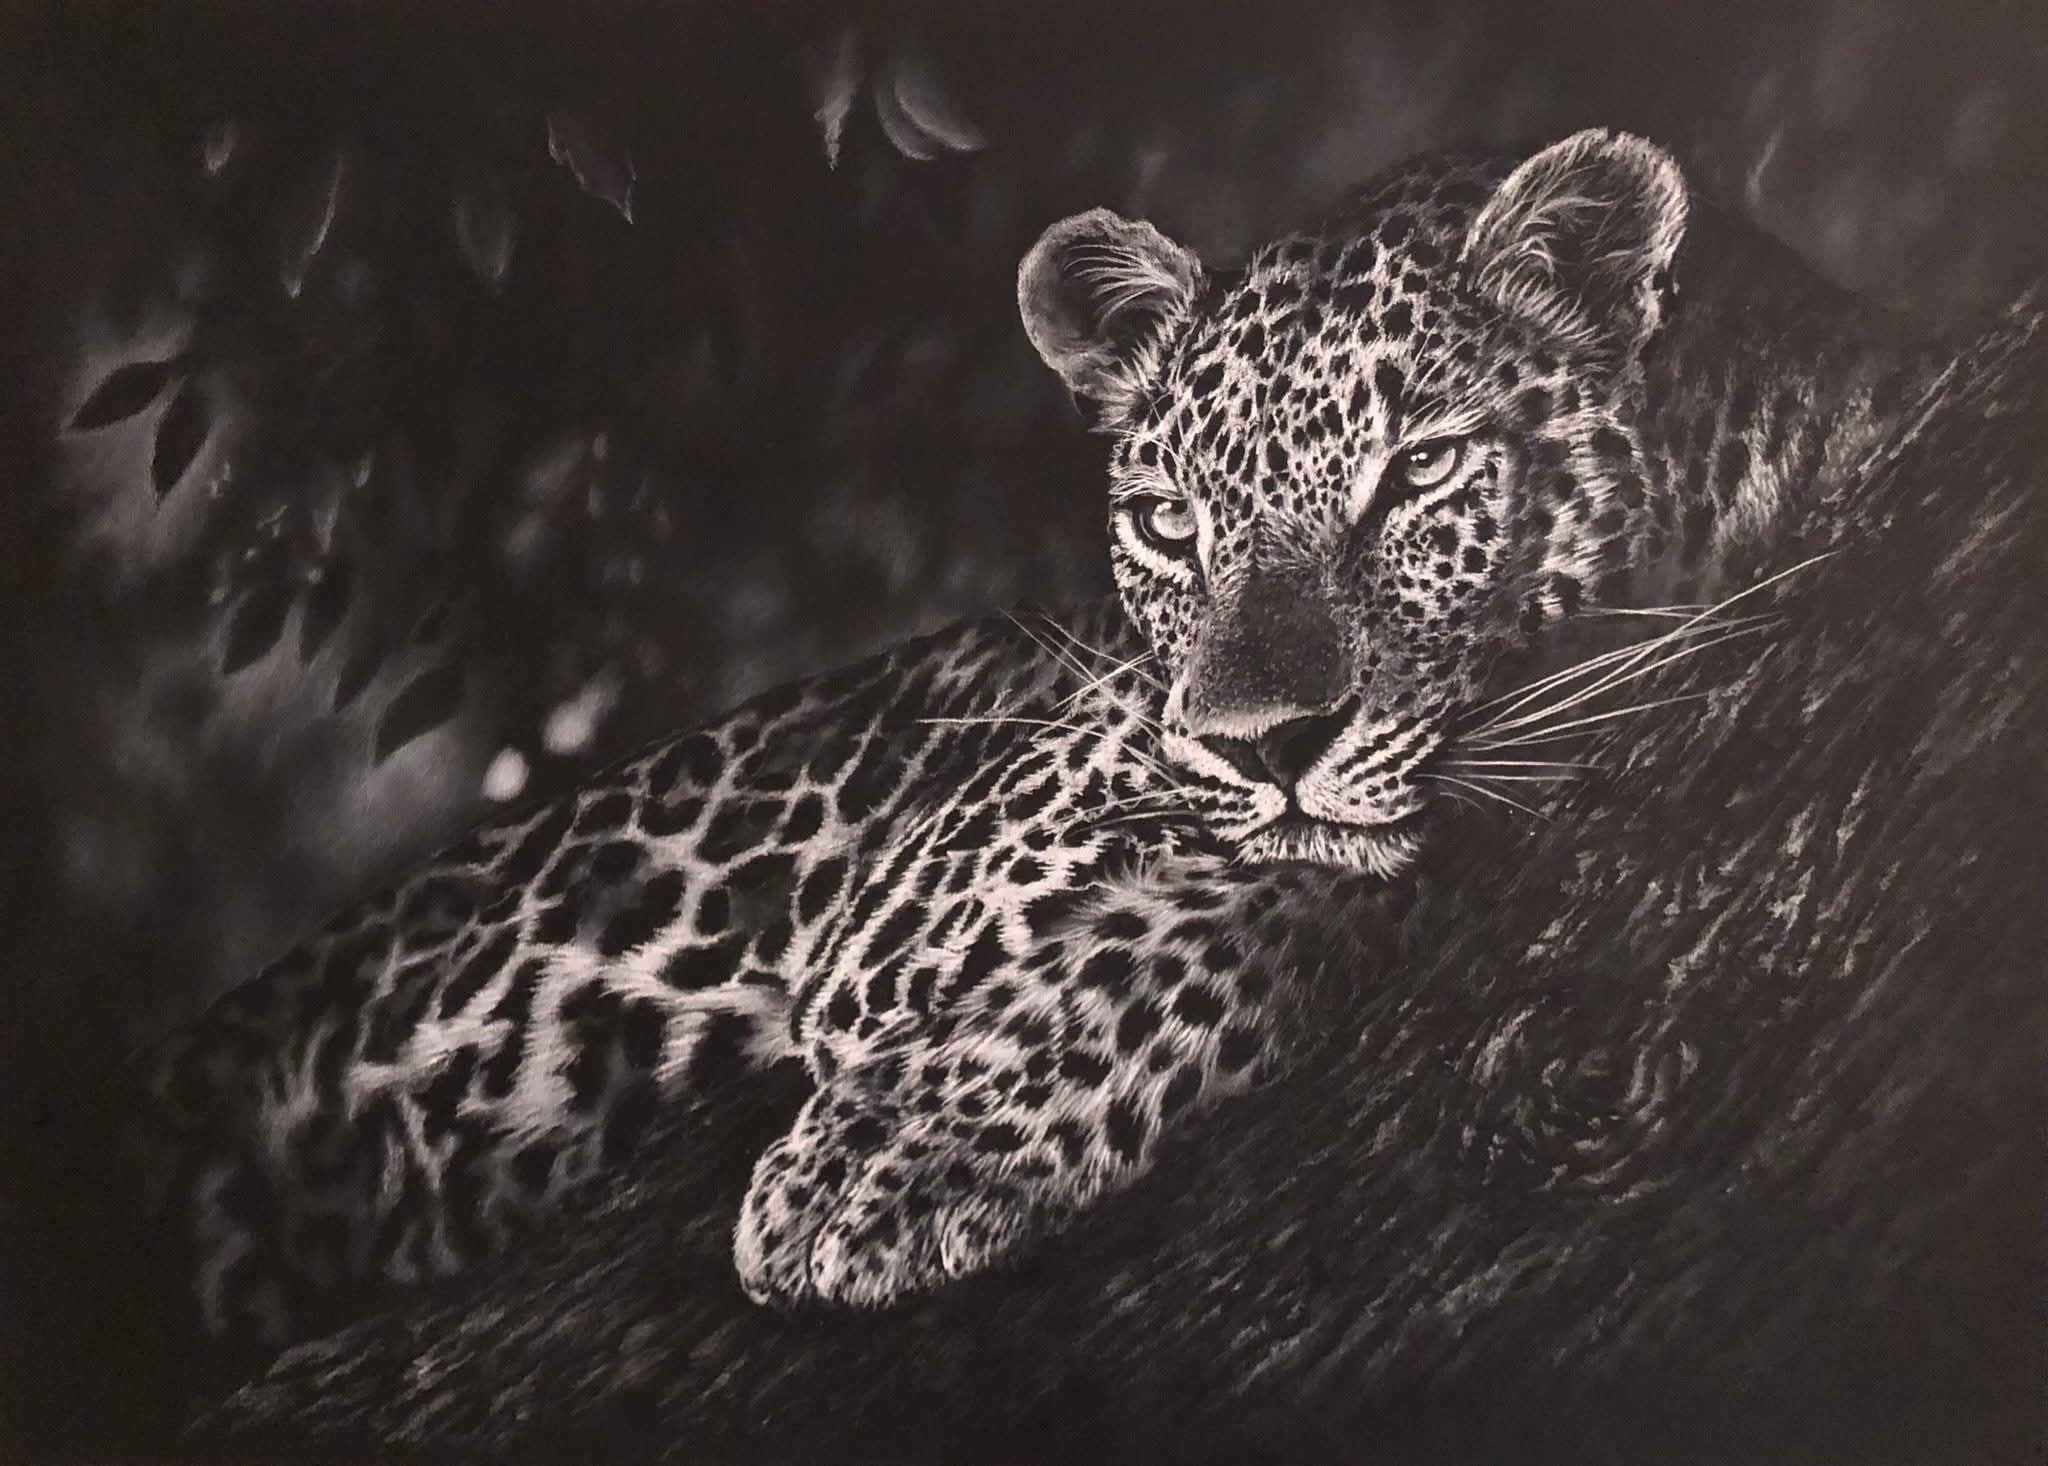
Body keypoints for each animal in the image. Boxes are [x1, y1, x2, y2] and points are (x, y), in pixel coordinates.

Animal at [120, 129, 1943, 1356]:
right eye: (1165, 522)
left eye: (1418, 475)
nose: (1263, 740)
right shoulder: (932, 871)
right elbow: (1245, 843)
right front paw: (882, 1134)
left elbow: (1305, 875)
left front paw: (887, 1160)